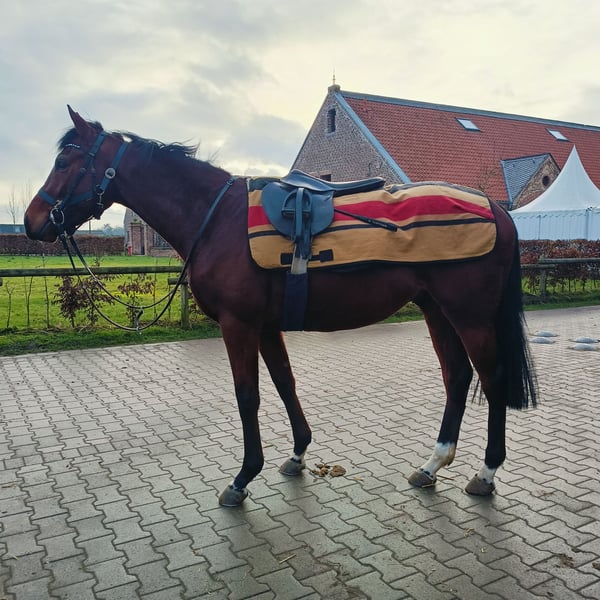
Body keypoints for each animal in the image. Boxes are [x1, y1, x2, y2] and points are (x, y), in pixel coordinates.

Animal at [24, 106, 537, 507]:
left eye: (66, 160)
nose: (32, 221)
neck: (218, 219)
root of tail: (496, 207)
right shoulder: (267, 327)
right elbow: (285, 383)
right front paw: (296, 455)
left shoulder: (239, 325)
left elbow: (247, 395)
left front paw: (242, 478)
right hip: (437, 310)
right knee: (458, 377)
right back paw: (432, 465)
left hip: (470, 316)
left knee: (491, 380)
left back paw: (485, 474)